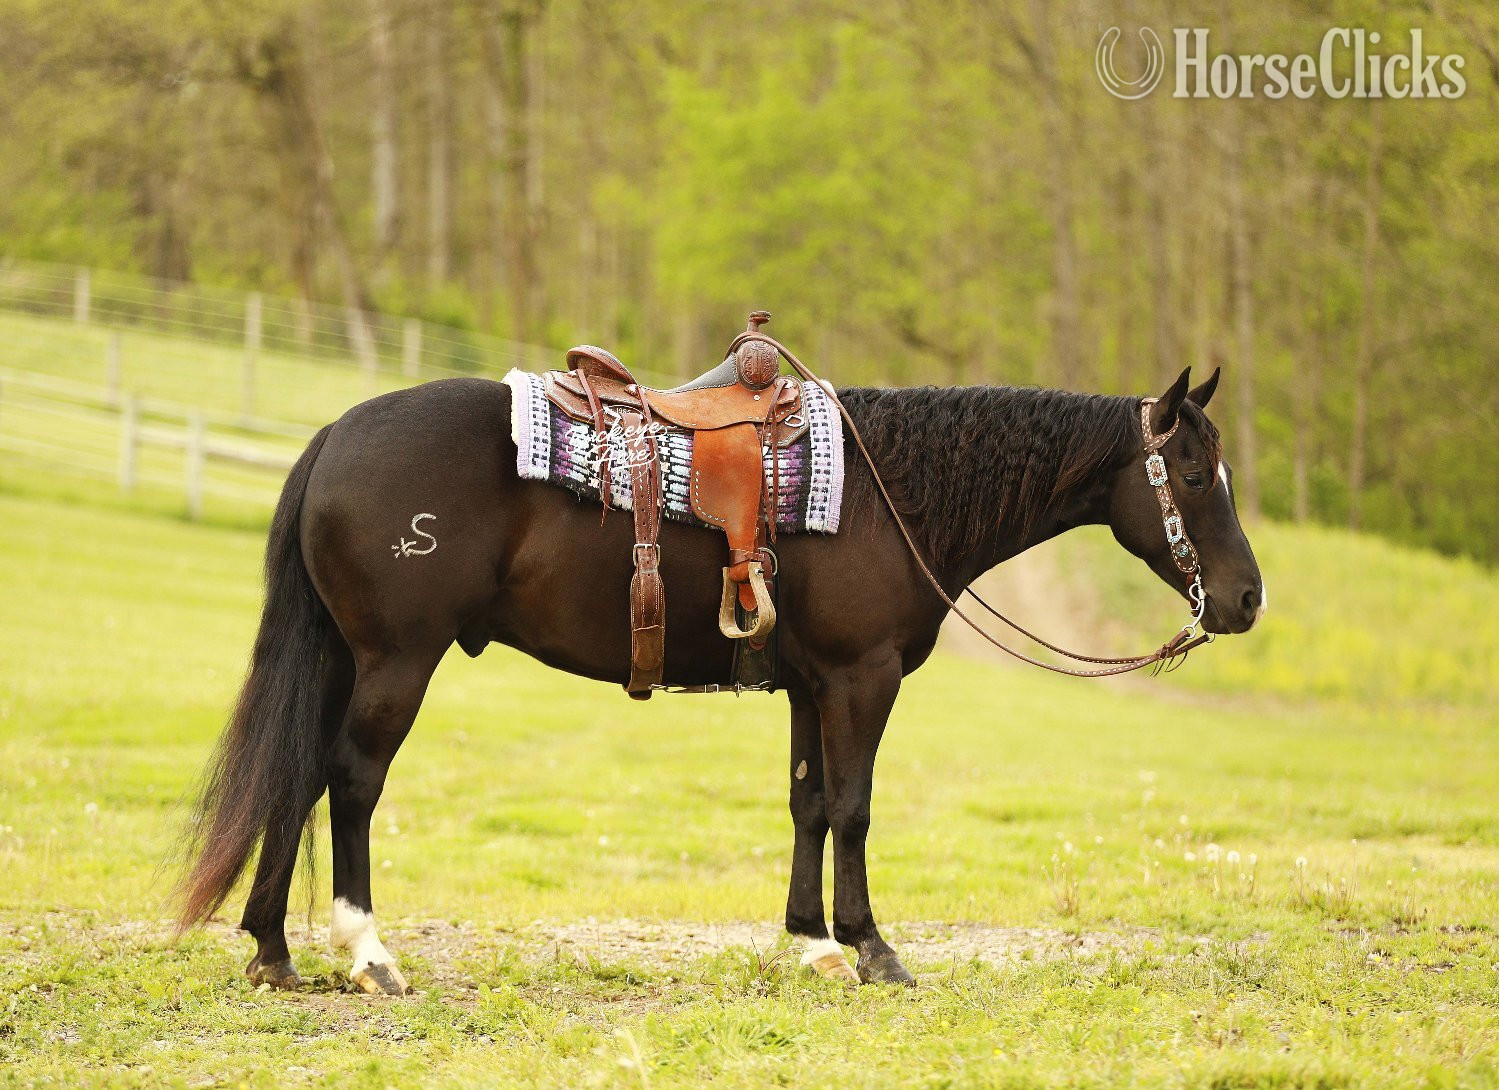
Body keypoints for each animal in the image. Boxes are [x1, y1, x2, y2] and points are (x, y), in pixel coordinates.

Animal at [175, 363, 1263, 992]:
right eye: (1194, 476)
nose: (1246, 598)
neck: (888, 493)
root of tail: (334, 436)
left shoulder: (811, 686)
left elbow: (809, 805)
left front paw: (810, 940)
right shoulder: (862, 679)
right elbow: (855, 806)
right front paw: (871, 948)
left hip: (341, 656)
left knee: (295, 778)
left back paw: (273, 951)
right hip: (397, 659)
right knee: (351, 781)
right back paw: (368, 954)